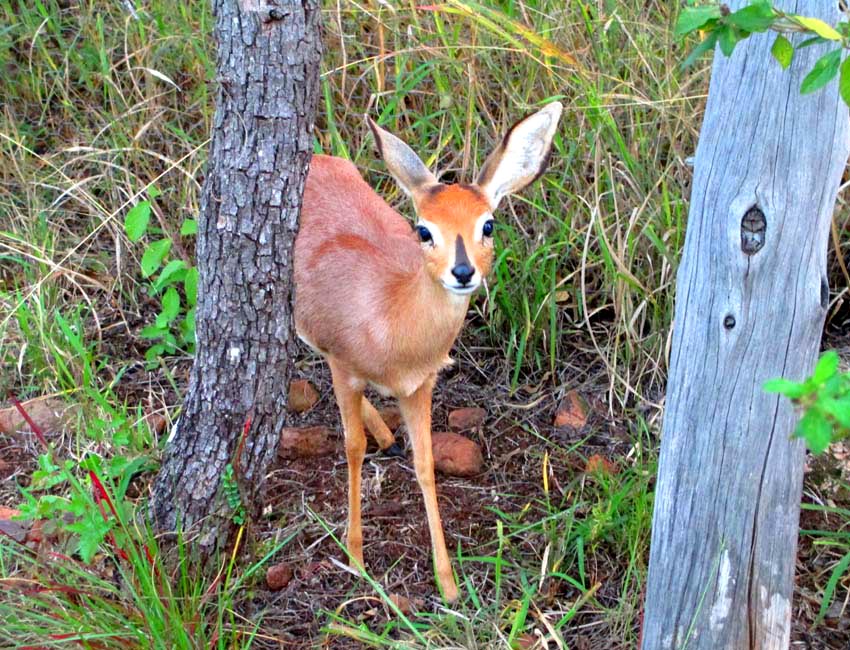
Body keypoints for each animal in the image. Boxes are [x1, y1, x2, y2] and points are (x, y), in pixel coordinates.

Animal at [294, 98, 564, 600]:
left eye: (488, 224)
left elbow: (426, 464)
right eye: (424, 230)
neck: (390, 320)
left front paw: (449, 584)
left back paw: (387, 434)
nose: (462, 272)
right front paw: (356, 558)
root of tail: (318, 158)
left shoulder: (419, 387)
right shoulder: (344, 369)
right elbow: (352, 447)